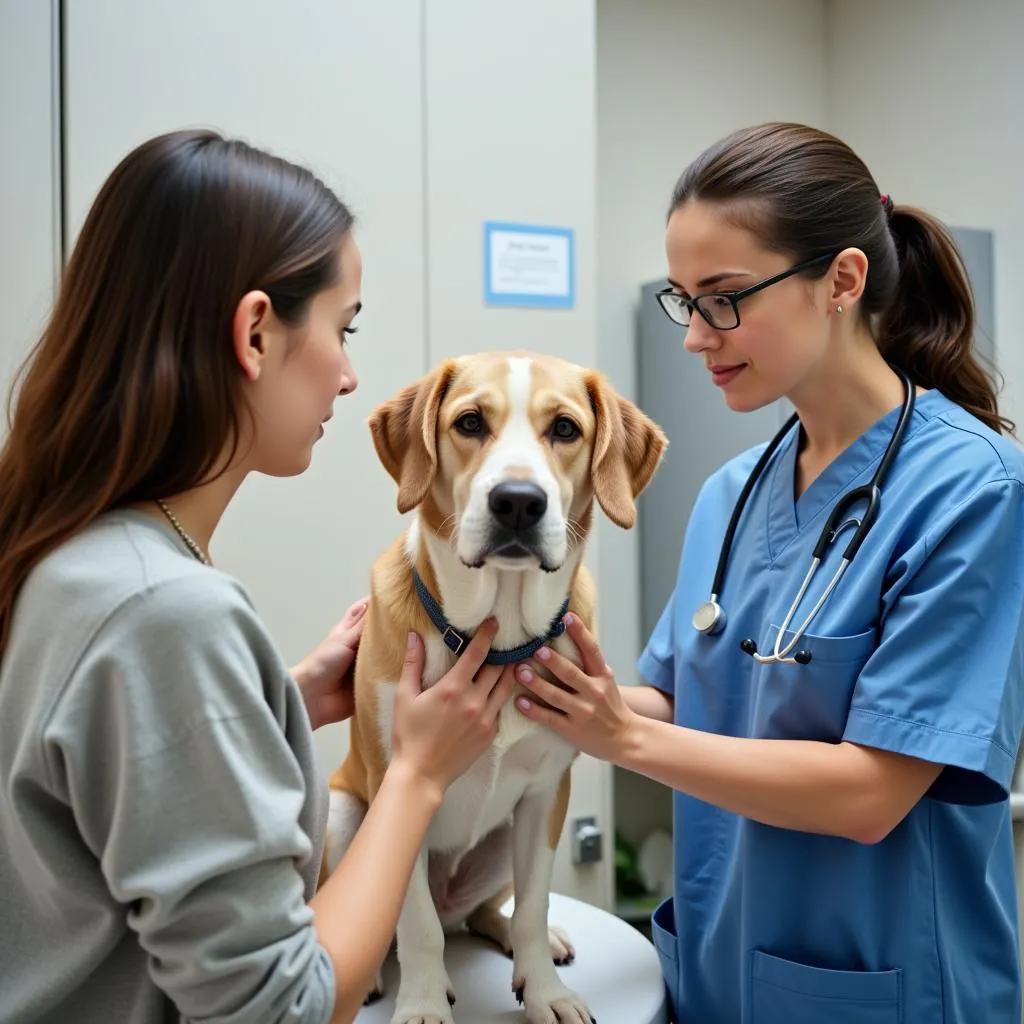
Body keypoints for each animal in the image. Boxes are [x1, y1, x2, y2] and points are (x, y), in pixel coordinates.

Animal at [323, 354, 667, 1024]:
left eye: (565, 429)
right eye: (470, 422)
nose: (517, 502)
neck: (498, 639)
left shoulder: (546, 794)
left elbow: (534, 905)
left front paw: (544, 992)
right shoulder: (396, 785)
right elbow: (416, 925)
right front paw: (423, 1004)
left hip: (501, 839)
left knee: (485, 913)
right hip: (344, 813)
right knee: (408, 920)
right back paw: (376, 975)